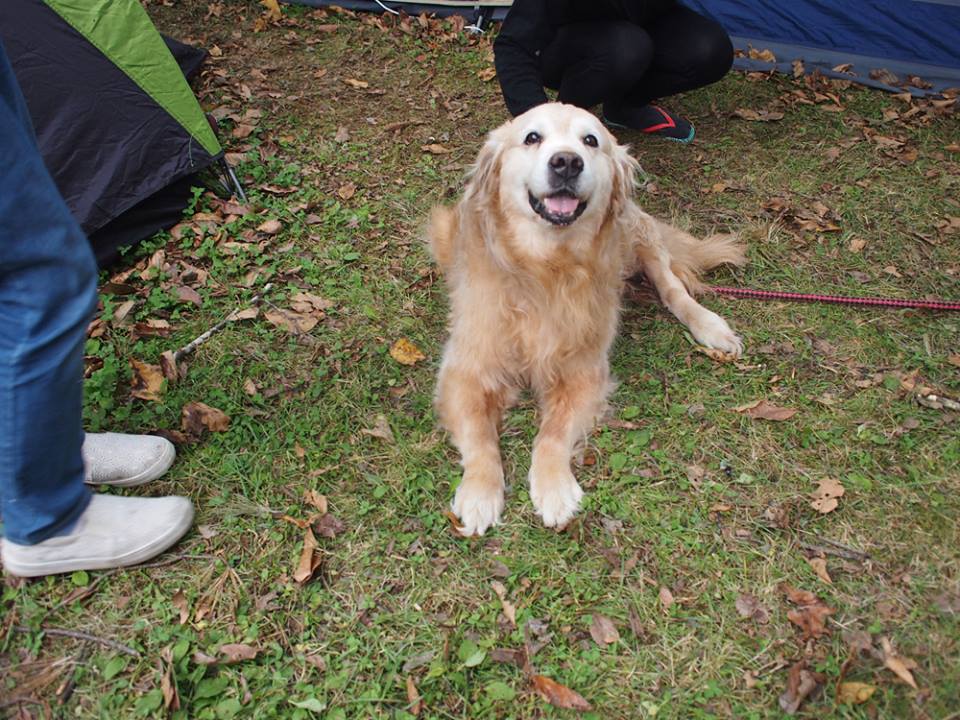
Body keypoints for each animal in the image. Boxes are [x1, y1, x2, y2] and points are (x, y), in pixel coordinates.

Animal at [428, 103, 745, 536]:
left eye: (590, 140)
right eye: (532, 137)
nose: (566, 162)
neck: (545, 269)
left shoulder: (583, 372)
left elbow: (552, 435)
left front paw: (554, 489)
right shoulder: (467, 369)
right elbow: (479, 435)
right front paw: (479, 493)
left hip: (638, 235)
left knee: (672, 286)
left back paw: (710, 326)